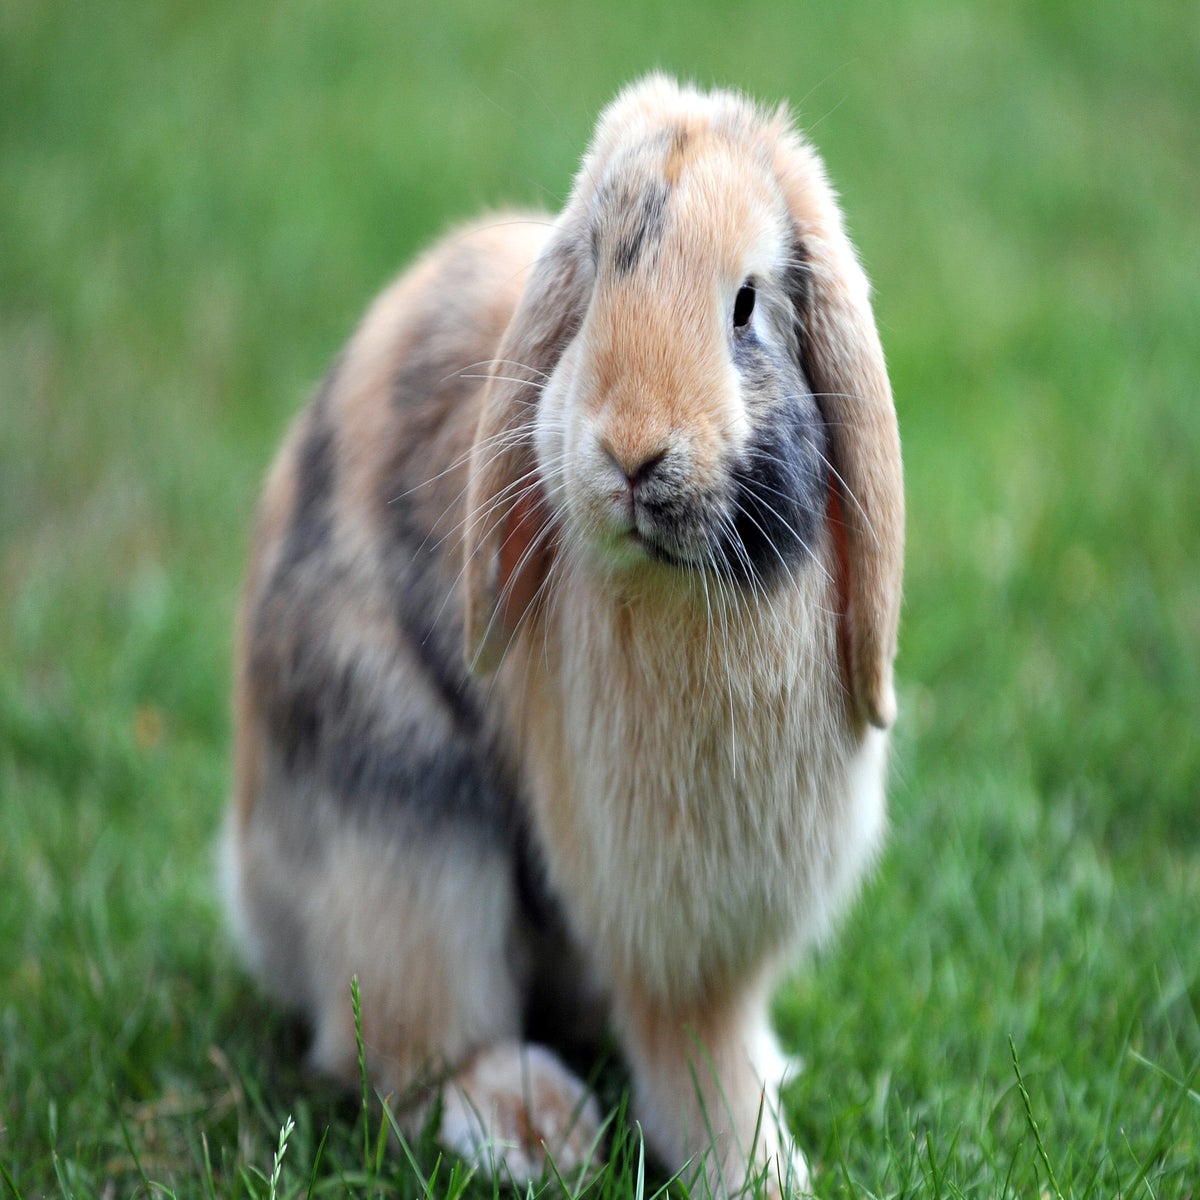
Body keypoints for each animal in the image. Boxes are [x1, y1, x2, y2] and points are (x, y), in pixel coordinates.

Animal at [223, 72, 903, 1196]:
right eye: (594, 281)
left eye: (748, 307)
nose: (633, 450)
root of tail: (252, 889)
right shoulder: (667, 914)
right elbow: (691, 1045)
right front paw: (756, 1171)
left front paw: (765, 1140)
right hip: (401, 817)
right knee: (406, 1045)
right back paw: (534, 1131)